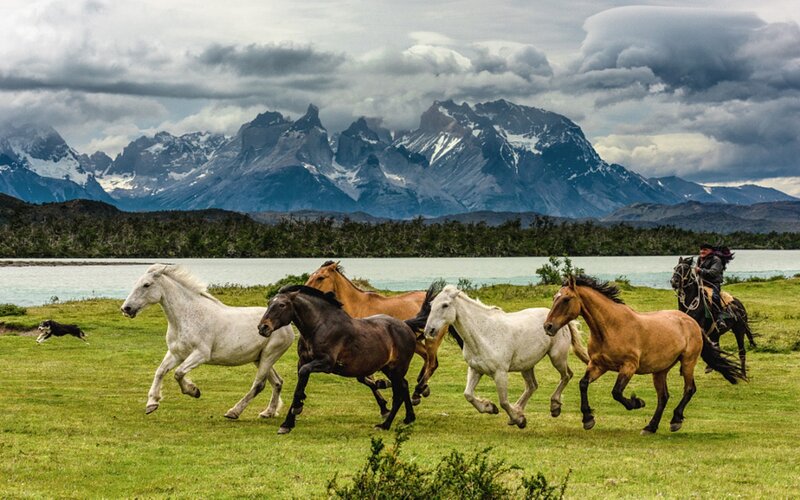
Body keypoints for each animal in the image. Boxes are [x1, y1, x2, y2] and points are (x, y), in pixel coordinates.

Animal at [121, 264, 294, 419]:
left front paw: (193, 391)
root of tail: (287, 326)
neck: (187, 316)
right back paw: (268, 412)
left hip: (269, 356)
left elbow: (178, 373)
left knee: (259, 385)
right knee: (277, 382)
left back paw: (233, 412)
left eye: (146, 285)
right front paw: (151, 404)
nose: (126, 309)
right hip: (259, 358)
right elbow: (160, 371)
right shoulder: (176, 353)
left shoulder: (201, 354)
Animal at [258, 284, 437, 434]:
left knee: (399, 394)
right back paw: (408, 418)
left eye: (282, 305)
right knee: (404, 386)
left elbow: (302, 376)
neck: (319, 327)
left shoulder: (326, 363)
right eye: (269, 303)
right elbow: (299, 385)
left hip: (397, 368)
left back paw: (385, 425)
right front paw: (288, 423)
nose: (263, 327)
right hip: (389, 368)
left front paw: (297, 408)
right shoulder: (303, 361)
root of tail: (406, 325)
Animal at [305, 261, 453, 405]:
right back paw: (422, 388)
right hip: (417, 342)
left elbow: (367, 379)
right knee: (427, 358)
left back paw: (418, 391)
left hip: (432, 339)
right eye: (311, 275)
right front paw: (383, 397)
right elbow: (365, 379)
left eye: (321, 277)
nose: (305, 290)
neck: (357, 307)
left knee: (432, 363)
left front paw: (384, 388)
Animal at [422, 285, 589, 429]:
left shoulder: (500, 373)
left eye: (445, 305)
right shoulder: (475, 369)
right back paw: (519, 410)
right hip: (526, 365)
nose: (429, 331)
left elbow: (503, 401)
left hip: (557, 358)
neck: (484, 333)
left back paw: (554, 407)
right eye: (431, 305)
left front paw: (518, 420)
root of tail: (558, 320)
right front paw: (491, 407)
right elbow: (468, 394)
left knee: (566, 375)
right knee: (532, 386)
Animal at [543, 275, 746, 434]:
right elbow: (583, 384)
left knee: (689, 389)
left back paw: (675, 420)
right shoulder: (598, 365)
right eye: (554, 298)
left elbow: (616, 392)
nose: (548, 326)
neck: (610, 328)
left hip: (688, 362)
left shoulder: (629, 367)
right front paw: (588, 419)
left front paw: (636, 402)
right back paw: (651, 427)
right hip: (660, 370)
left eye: (566, 299)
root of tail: (692, 322)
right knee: (663, 397)